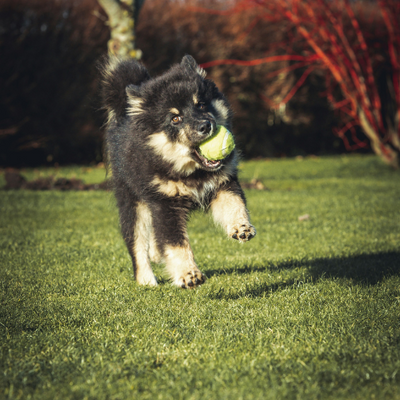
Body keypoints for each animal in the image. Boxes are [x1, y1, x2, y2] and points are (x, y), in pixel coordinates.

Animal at [101, 55, 256, 288]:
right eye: (175, 118)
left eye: (201, 104)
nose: (206, 126)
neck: (192, 173)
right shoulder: (165, 204)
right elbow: (176, 244)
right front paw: (188, 274)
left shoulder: (223, 184)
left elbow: (234, 205)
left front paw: (241, 227)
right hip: (133, 202)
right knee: (137, 244)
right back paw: (146, 280)